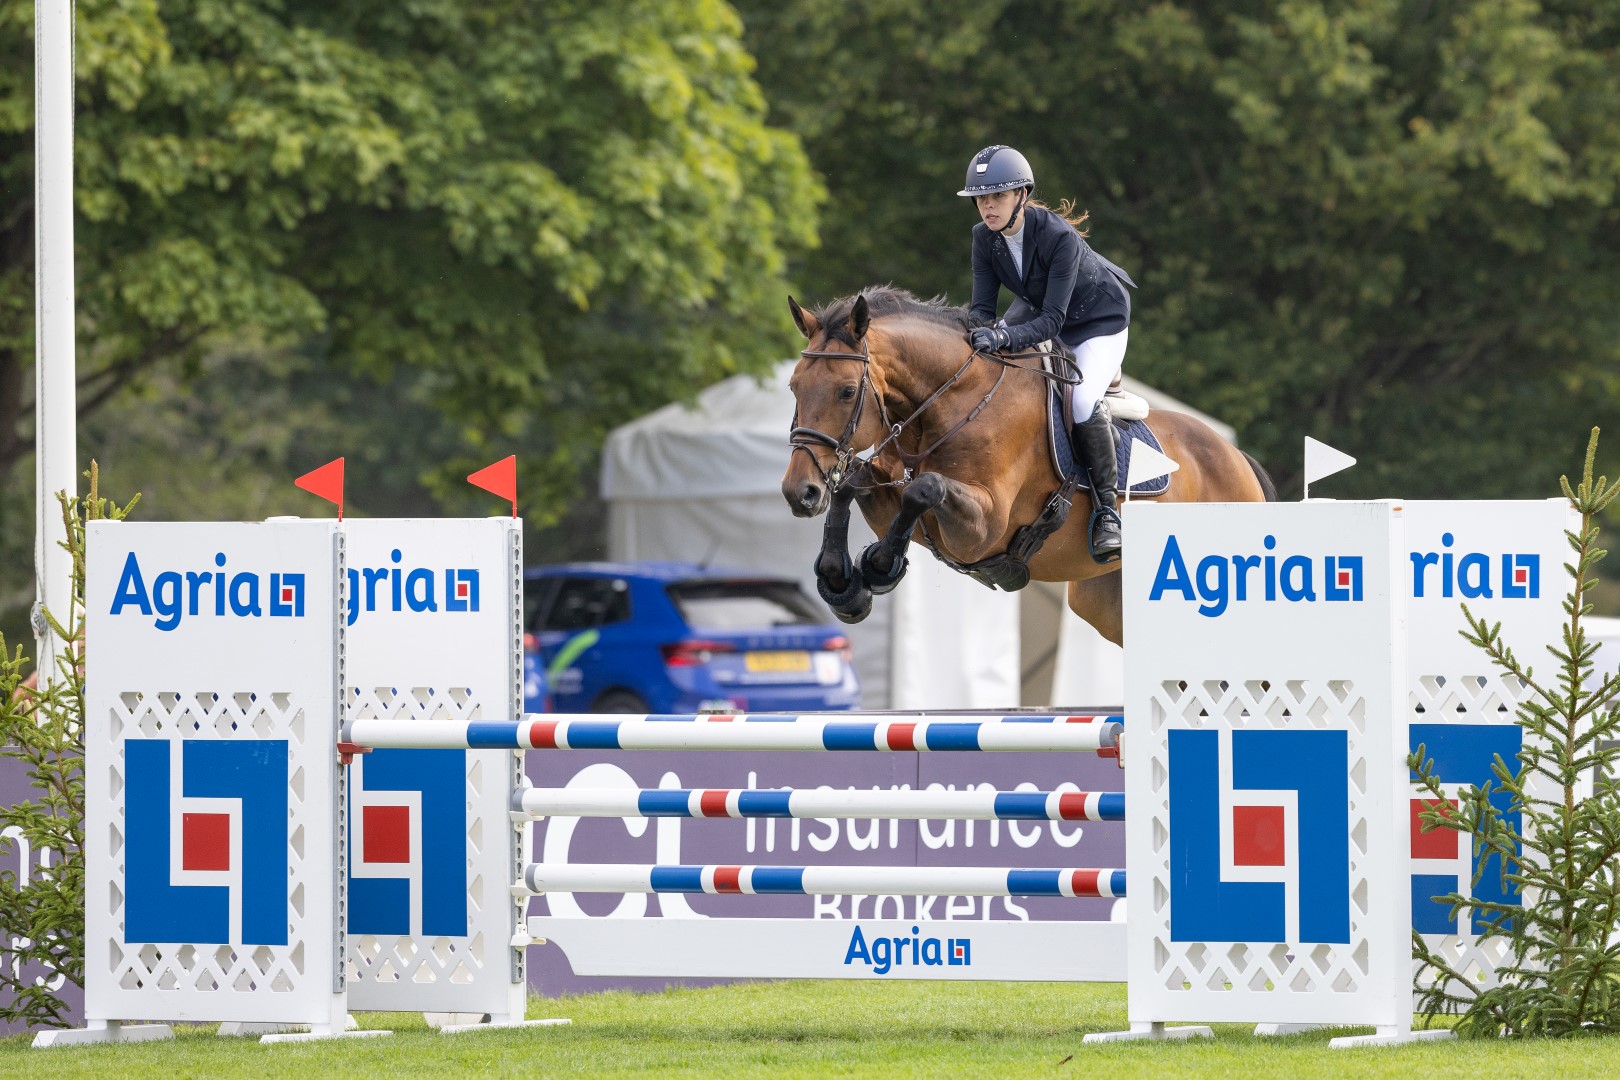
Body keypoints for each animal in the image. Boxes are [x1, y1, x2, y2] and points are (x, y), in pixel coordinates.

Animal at [780, 286, 1276, 646]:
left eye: (847, 391)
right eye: (794, 387)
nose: (798, 492)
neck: (951, 400)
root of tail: (1239, 460)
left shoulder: (983, 527)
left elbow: (926, 488)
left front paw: (880, 565)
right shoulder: (893, 495)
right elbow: (853, 485)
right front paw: (841, 582)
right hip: (1106, 602)